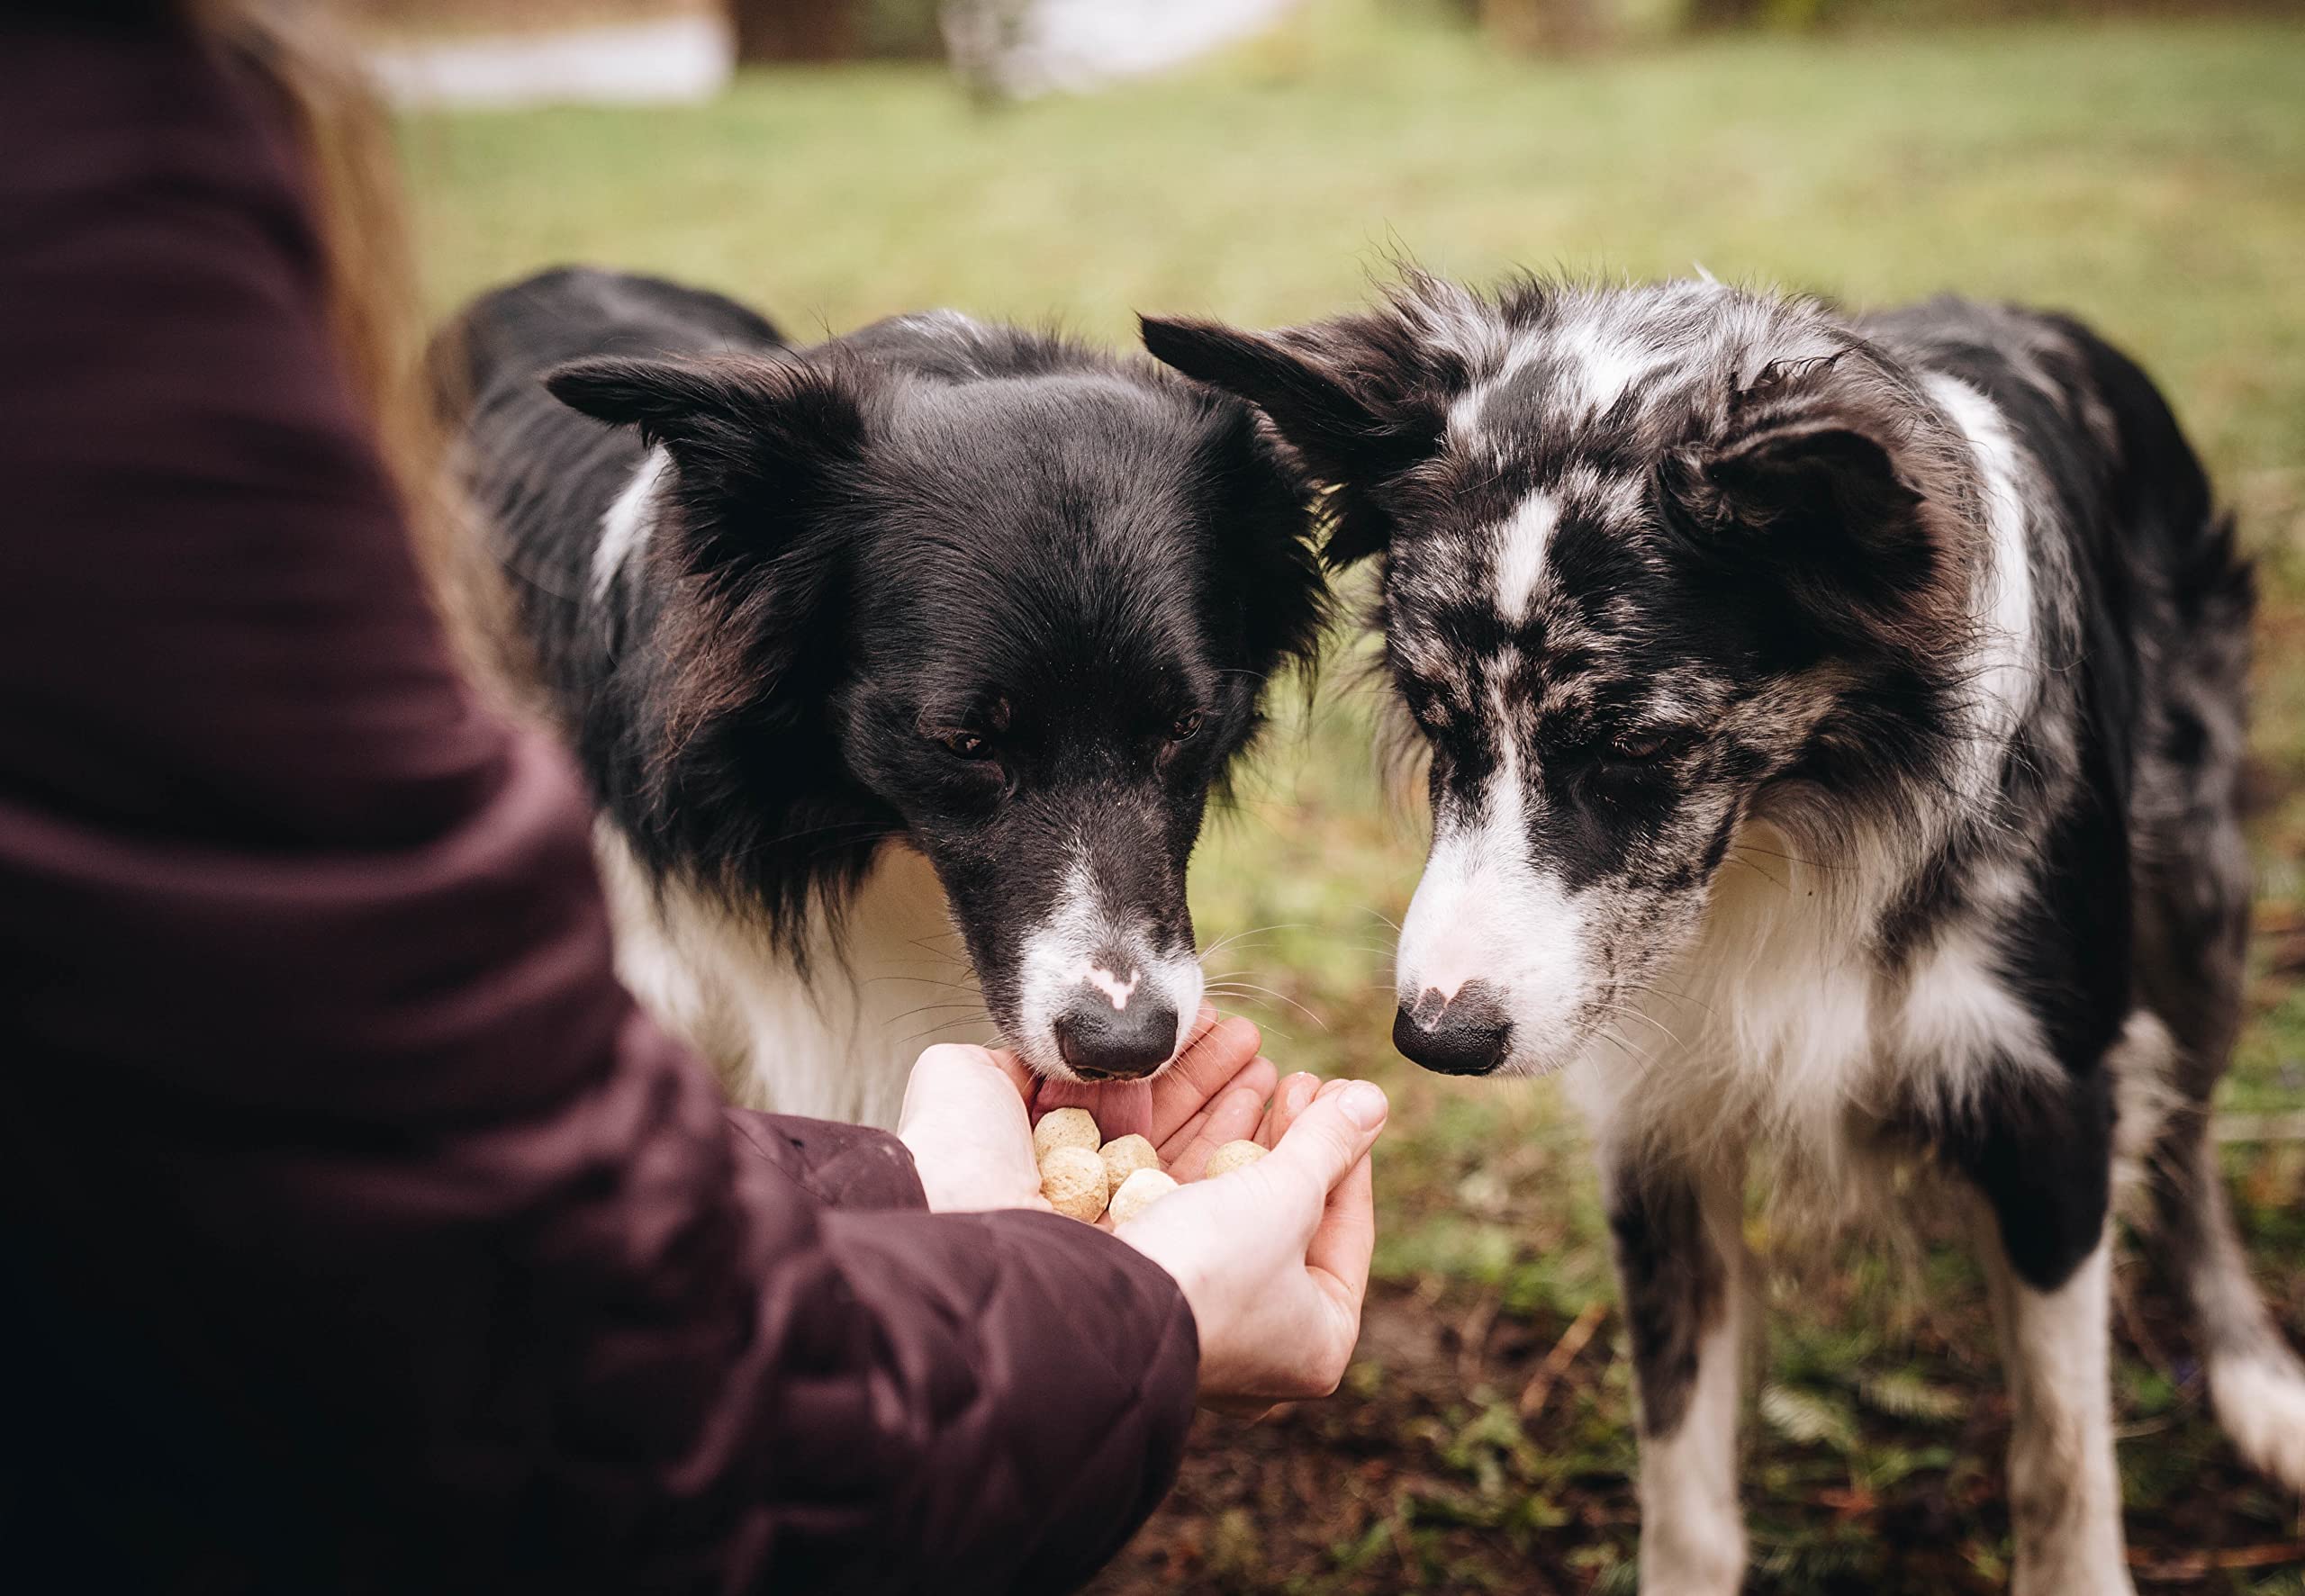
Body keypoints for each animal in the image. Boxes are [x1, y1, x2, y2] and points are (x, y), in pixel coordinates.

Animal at [1152, 277, 2305, 1593]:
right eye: (1438, 721)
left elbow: (2062, 1461)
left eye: (1635, 748)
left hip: (2200, 903)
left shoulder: (2050, 1100)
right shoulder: (1661, 1130)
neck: (1795, 819)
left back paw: (2255, 1374)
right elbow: (1684, 1478)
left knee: (2193, 1147)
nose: (1436, 1039)